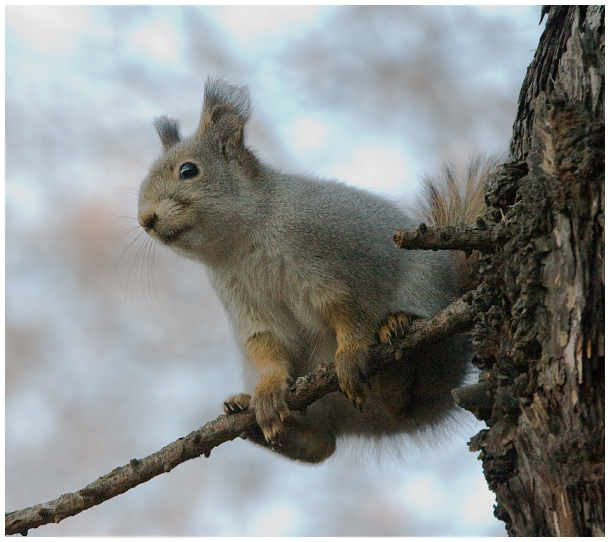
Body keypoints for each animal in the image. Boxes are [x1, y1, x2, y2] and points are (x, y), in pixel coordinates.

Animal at [138, 78, 490, 466]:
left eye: (189, 171)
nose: (145, 219)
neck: (242, 242)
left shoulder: (328, 262)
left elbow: (348, 310)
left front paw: (351, 353)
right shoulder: (245, 304)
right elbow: (266, 343)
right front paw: (267, 390)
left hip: (431, 310)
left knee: (408, 395)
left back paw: (396, 341)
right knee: (323, 445)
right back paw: (250, 416)